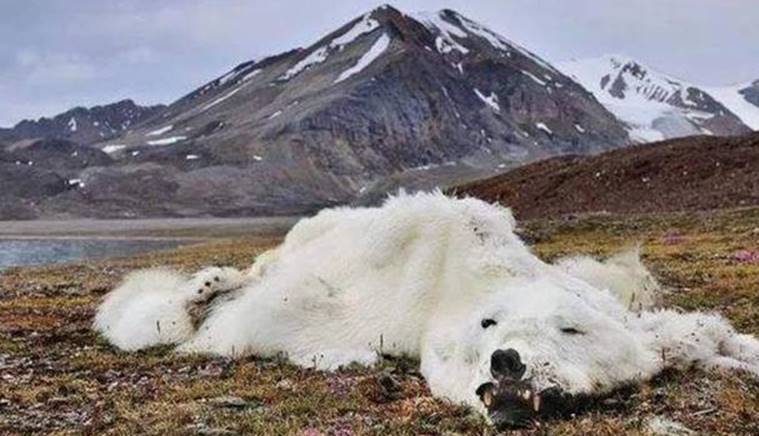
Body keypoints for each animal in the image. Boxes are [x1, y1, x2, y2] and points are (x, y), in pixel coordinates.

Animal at [95, 192, 759, 428]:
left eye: (571, 329)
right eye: (490, 325)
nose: (508, 361)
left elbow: (683, 333)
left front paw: (736, 351)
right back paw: (208, 288)